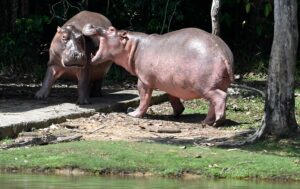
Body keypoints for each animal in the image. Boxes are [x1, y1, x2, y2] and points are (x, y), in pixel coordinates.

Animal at [82, 24, 234, 125]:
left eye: (111, 29)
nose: (91, 24)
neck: (131, 46)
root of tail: (222, 54)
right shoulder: (170, 83)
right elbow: (172, 97)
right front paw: (177, 112)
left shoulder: (143, 80)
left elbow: (144, 98)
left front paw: (134, 114)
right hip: (218, 84)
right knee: (214, 102)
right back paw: (208, 121)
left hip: (205, 87)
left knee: (220, 97)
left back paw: (214, 122)